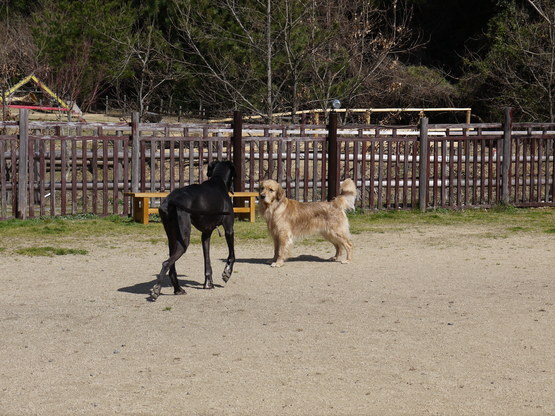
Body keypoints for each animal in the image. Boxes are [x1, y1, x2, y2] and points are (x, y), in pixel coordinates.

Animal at [151, 161, 238, 300]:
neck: (217, 180)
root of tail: (171, 200)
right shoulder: (229, 229)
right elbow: (232, 255)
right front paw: (227, 273)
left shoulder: (206, 235)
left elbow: (207, 261)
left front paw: (208, 283)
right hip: (184, 240)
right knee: (165, 263)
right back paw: (157, 289)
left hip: (172, 239)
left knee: (171, 266)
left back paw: (178, 289)